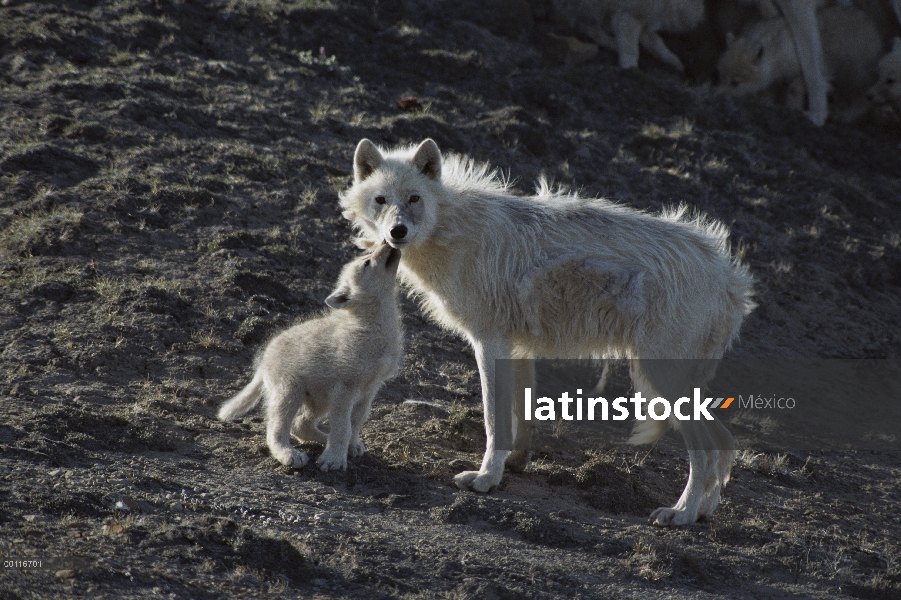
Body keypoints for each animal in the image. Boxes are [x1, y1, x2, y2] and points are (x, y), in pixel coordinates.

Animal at [342, 139, 756, 524]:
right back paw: (704, 511)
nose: (397, 231)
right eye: (381, 200)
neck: (453, 228)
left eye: (414, 199)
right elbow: (518, 416)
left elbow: (493, 420)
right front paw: (512, 465)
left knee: (706, 448)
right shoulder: (517, 348)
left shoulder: (489, 343)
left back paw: (681, 513)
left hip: (661, 377)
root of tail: (730, 278)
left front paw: (485, 479)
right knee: (725, 442)